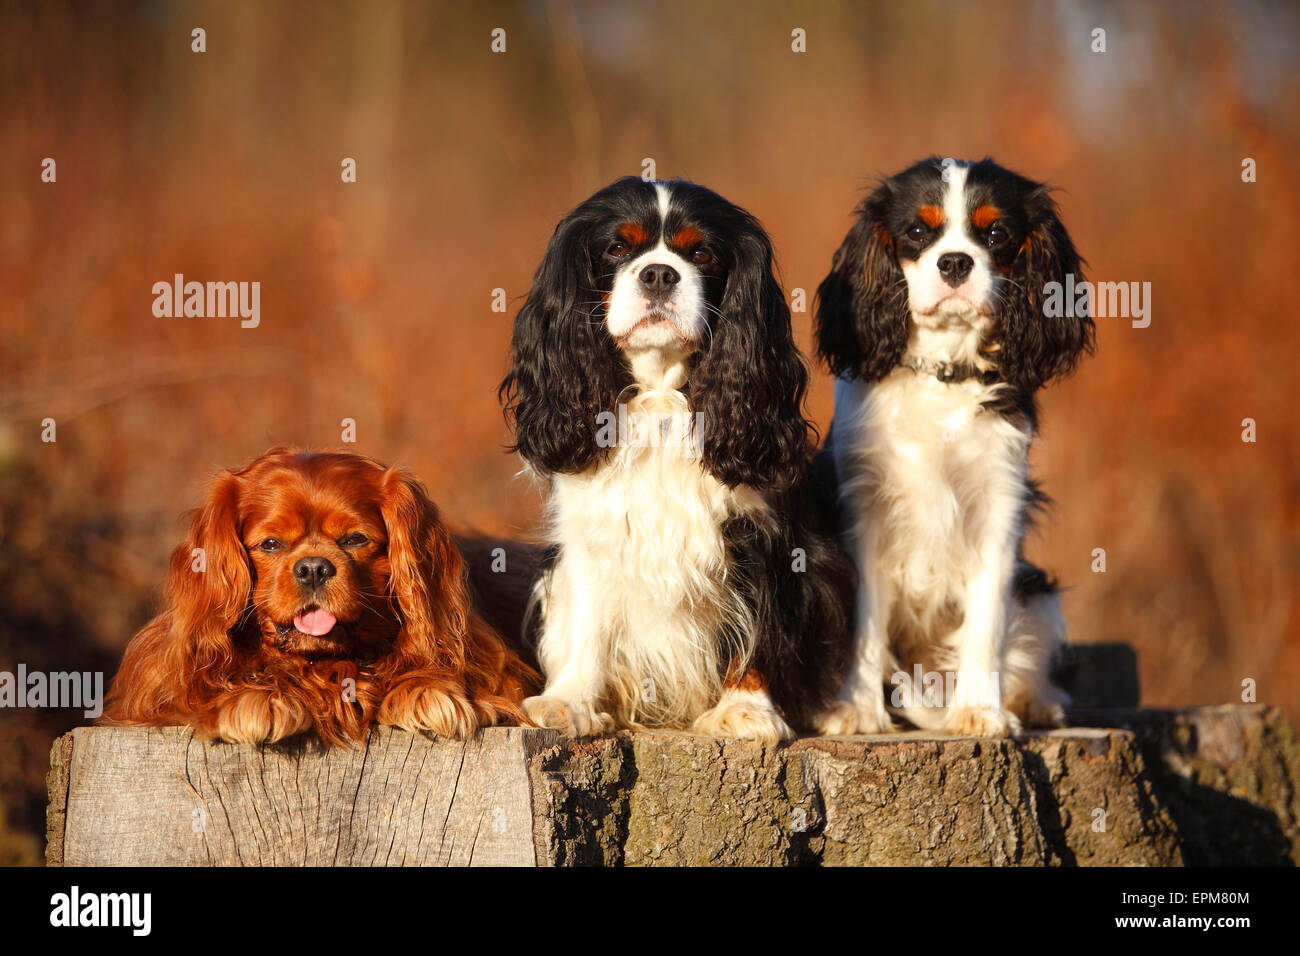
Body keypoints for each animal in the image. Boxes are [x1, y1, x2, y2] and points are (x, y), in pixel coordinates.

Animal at [504, 179, 852, 749]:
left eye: (702, 254)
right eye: (617, 249)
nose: (660, 273)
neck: (662, 392)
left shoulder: (763, 534)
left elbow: (759, 623)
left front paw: (746, 708)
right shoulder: (594, 529)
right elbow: (588, 622)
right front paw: (571, 700)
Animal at [816, 158, 1092, 738]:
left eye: (996, 234)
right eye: (918, 232)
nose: (956, 262)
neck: (943, 375)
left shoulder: (998, 509)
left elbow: (986, 622)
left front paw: (980, 711)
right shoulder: (866, 513)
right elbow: (865, 623)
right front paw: (858, 708)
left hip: (1037, 590)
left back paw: (1034, 702)